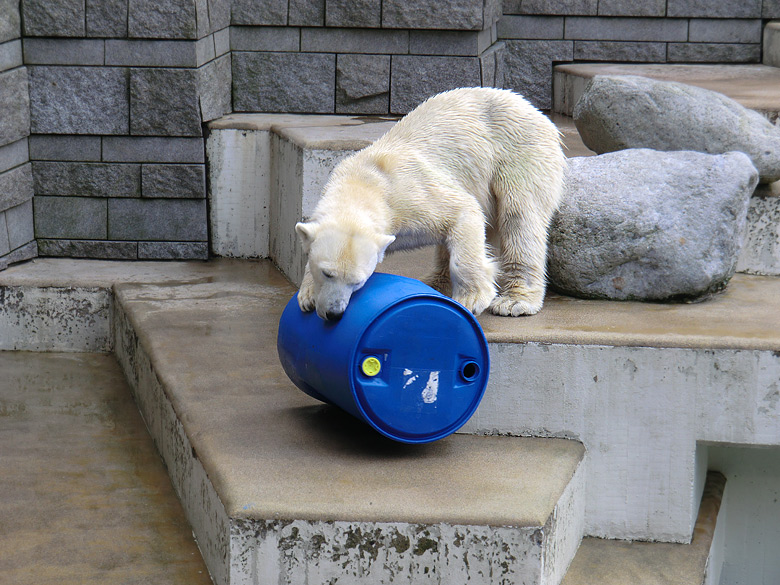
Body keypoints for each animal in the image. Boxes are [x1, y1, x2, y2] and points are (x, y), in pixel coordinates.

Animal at [296, 88, 564, 320]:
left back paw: (515, 300)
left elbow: (464, 209)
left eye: (358, 281)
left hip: (520, 153)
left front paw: (472, 298)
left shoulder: (409, 196)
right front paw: (307, 295)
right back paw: (435, 283)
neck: (365, 182)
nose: (334, 312)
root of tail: (535, 110)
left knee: (520, 218)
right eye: (327, 273)